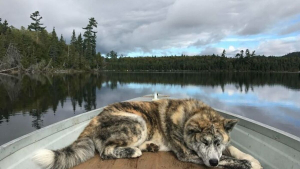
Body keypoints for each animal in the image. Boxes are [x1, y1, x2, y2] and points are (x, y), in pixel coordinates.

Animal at [33, 98, 262, 168]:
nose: (212, 162)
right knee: (106, 151)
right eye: (204, 142)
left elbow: (231, 150)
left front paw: (251, 160)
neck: (190, 116)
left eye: (217, 141)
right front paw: (245, 164)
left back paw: (149, 146)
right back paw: (133, 151)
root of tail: (93, 120)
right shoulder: (188, 154)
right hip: (137, 121)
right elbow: (226, 159)